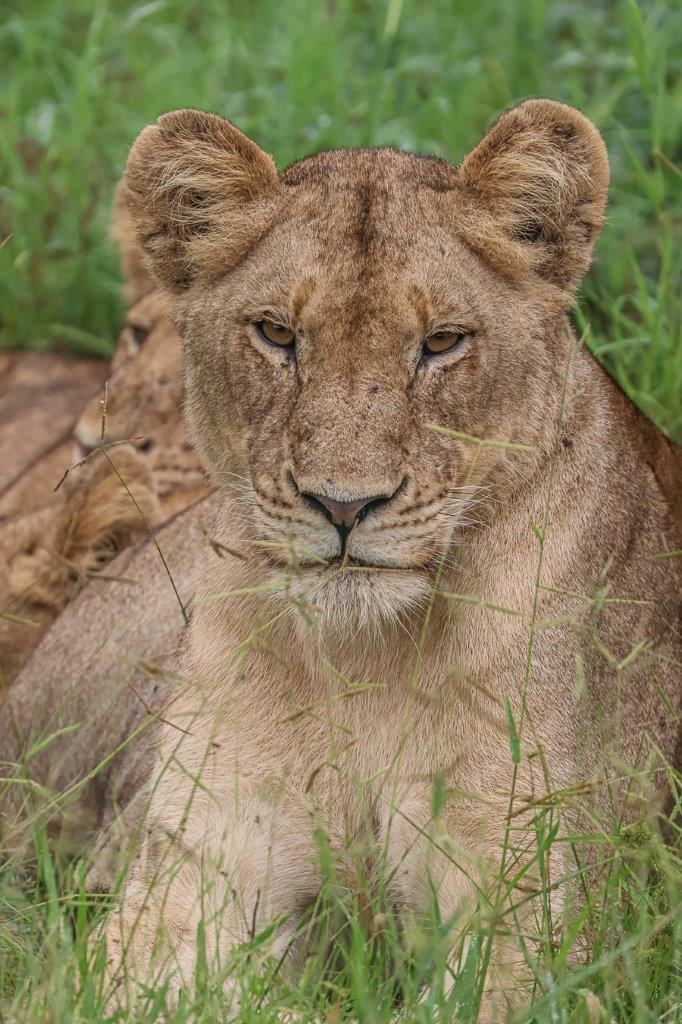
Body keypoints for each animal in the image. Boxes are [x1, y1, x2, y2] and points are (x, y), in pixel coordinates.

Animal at [6, 100, 681, 1019]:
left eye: (442, 342)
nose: (345, 505)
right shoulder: (188, 879)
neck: (363, 669)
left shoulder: (541, 929)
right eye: (276, 334)